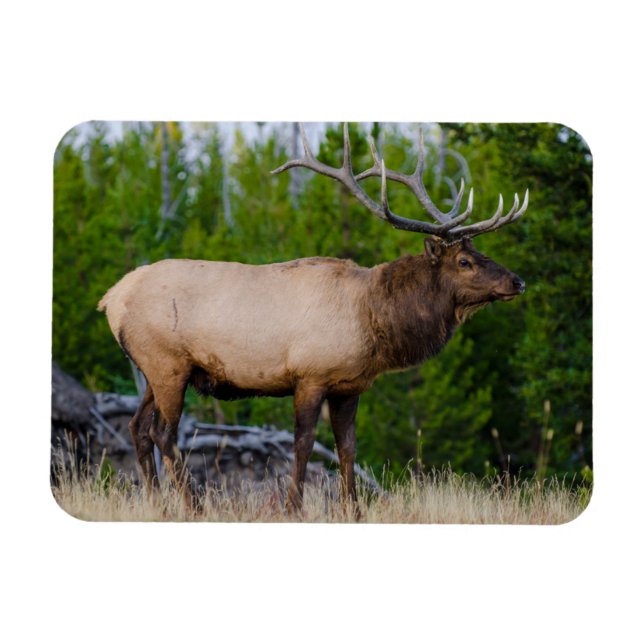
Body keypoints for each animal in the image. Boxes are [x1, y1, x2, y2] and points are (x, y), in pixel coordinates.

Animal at [98, 123, 528, 517]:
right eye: (465, 261)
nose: (517, 281)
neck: (373, 320)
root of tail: (110, 299)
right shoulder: (309, 375)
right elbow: (303, 443)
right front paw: (294, 507)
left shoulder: (349, 386)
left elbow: (347, 446)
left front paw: (353, 509)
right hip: (168, 363)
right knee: (163, 433)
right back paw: (194, 506)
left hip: (154, 370)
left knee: (137, 428)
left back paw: (157, 505)